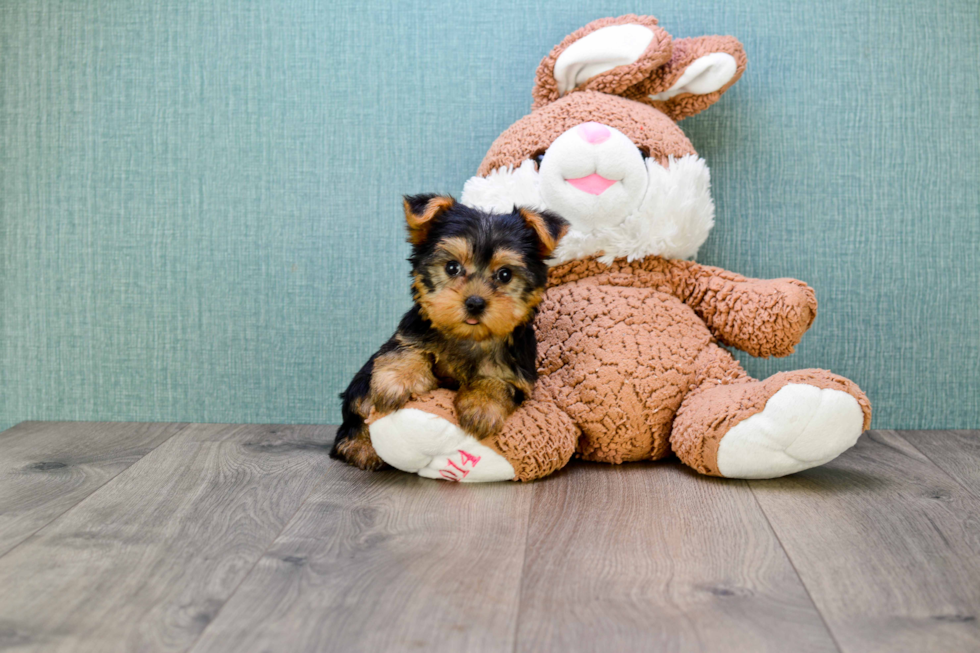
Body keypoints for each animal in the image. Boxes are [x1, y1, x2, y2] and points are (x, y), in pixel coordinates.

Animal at [334, 194, 572, 468]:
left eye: (504, 274)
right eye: (451, 267)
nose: (475, 303)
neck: (469, 338)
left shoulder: (518, 373)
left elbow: (499, 381)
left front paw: (481, 405)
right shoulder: (410, 333)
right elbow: (407, 350)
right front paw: (397, 382)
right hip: (360, 386)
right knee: (357, 407)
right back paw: (360, 446)